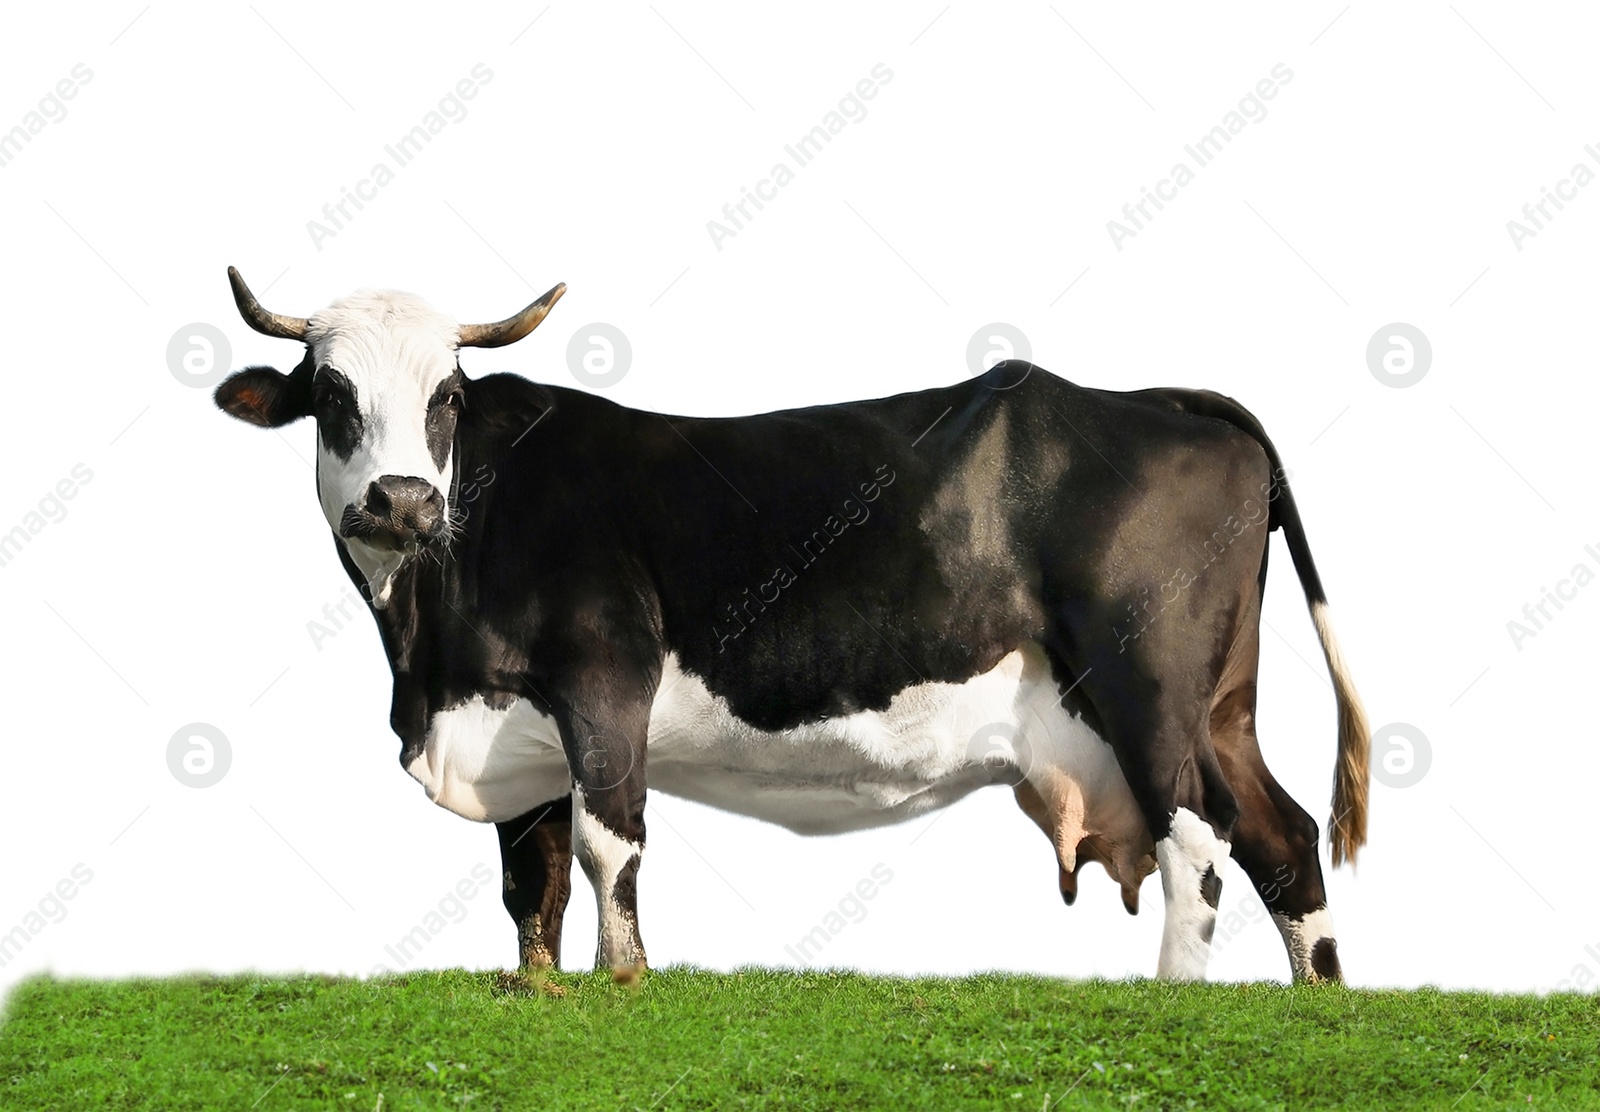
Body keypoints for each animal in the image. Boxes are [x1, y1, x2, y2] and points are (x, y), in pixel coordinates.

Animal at [212, 270, 1369, 985]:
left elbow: (605, 842)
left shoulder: (603, 678)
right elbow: (526, 882)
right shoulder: (505, 721)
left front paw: (624, 980)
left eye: (446, 395)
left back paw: (1177, 995)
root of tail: (1154, 398)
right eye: (330, 393)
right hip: (1220, 704)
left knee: (1199, 835)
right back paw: (1319, 1002)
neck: (426, 643)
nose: (403, 501)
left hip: (1147, 686)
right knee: (1281, 833)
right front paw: (540, 990)